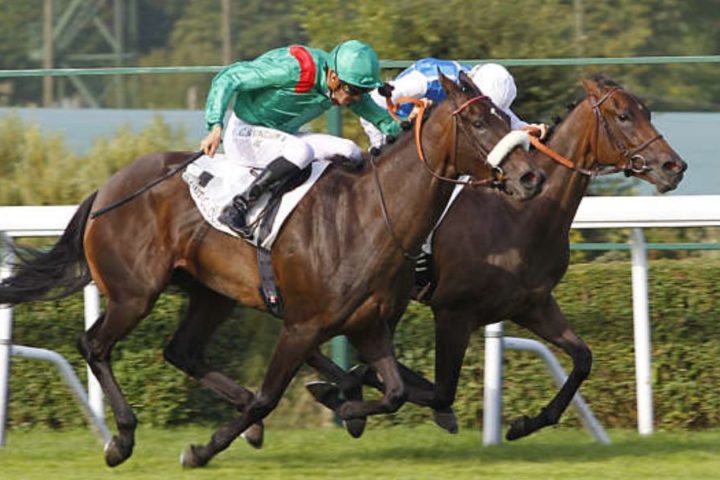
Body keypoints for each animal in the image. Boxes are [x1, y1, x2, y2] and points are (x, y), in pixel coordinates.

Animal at [0, 71, 544, 468]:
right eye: (480, 123)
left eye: (504, 117)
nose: (531, 177)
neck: (370, 215)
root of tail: (107, 190)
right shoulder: (302, 325)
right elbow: (270, 395)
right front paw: (202, 448)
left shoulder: (367, 324)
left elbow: (389, 392)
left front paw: (348, 406)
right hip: (135, 293)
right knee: (95, 344)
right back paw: (122, 439)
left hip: (211, 293)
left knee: (182, 351)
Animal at [304, 74, 687, 440]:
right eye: (623, 116)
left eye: (647, 112)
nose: (674, 166)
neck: (518, 214)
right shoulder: (453, 312)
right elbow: (441, 391)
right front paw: (350, 395)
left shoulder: (533, 305)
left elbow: (583, 359)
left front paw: (526, 423)